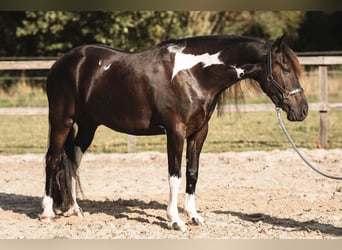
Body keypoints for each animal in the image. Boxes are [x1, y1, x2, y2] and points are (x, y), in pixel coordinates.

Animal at [40, 34, 310, 231]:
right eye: (285, 68)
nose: (303, 110)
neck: (193, 74)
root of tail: (61, 64)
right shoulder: (175, 132)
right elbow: (175, 175)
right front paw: (176, 220)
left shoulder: (199, 132)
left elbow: (192, 173)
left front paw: (194, 216)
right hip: (61, 121)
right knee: (53, 159)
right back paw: (47, 212)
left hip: (88, 125)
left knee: (72, 160)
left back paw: (74, 209)